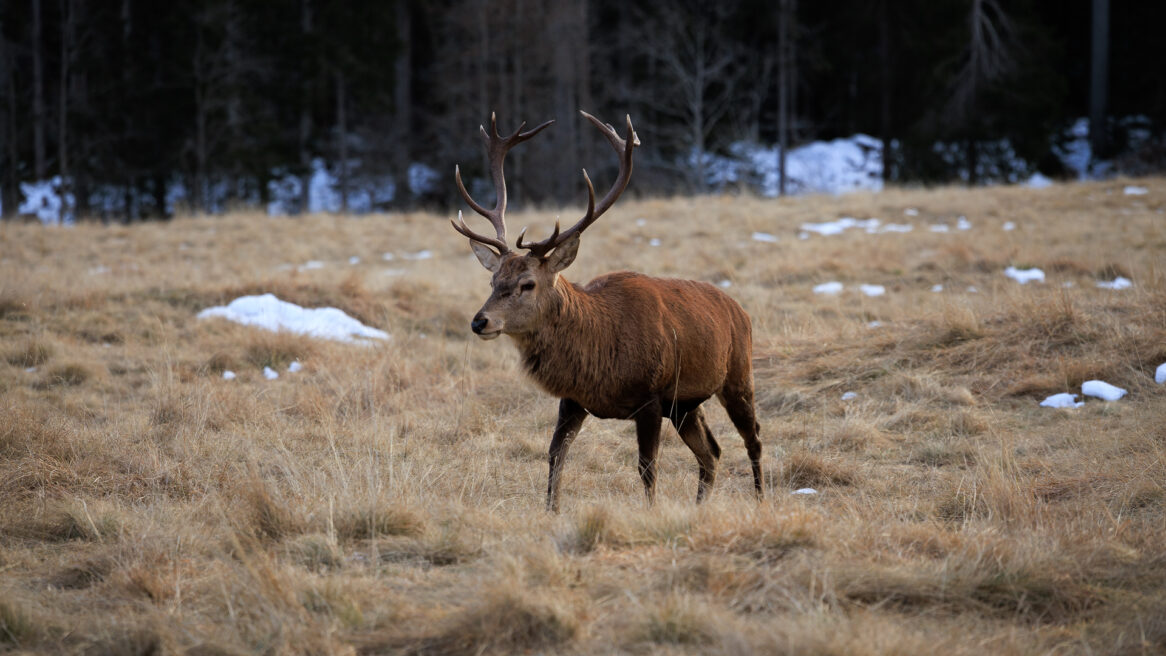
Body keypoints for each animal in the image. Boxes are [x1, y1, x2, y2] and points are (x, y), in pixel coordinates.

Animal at [447, 113, 764, 512]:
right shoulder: (573, 399)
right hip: (685, 405)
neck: (600, 357)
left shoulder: (651, 395)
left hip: (737, 374)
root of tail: (739, 310)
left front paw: (650, 511)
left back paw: (762, 499)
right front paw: (551, 510)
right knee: (712, 452)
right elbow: (555, 455)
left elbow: (647, 466)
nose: (480, 321)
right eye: (493, 281)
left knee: (753, 439)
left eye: (528, 284)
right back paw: (700, 506)